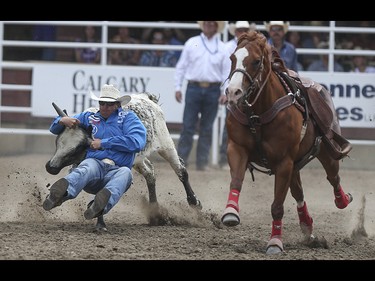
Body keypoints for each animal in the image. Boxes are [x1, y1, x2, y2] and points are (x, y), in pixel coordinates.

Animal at [220, 30, 352, 254]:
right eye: (232, 58)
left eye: (256, 61)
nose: (233, 92)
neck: (258, 114)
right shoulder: (237, 148)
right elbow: (236, 180)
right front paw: (231, 212)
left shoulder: (283, 162)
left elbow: (277, 206)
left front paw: (275, 242)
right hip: (295, 165)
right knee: (299, 193)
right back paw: (307, 226)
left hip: (324, 152)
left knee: (333, 177)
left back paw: (342, 200)